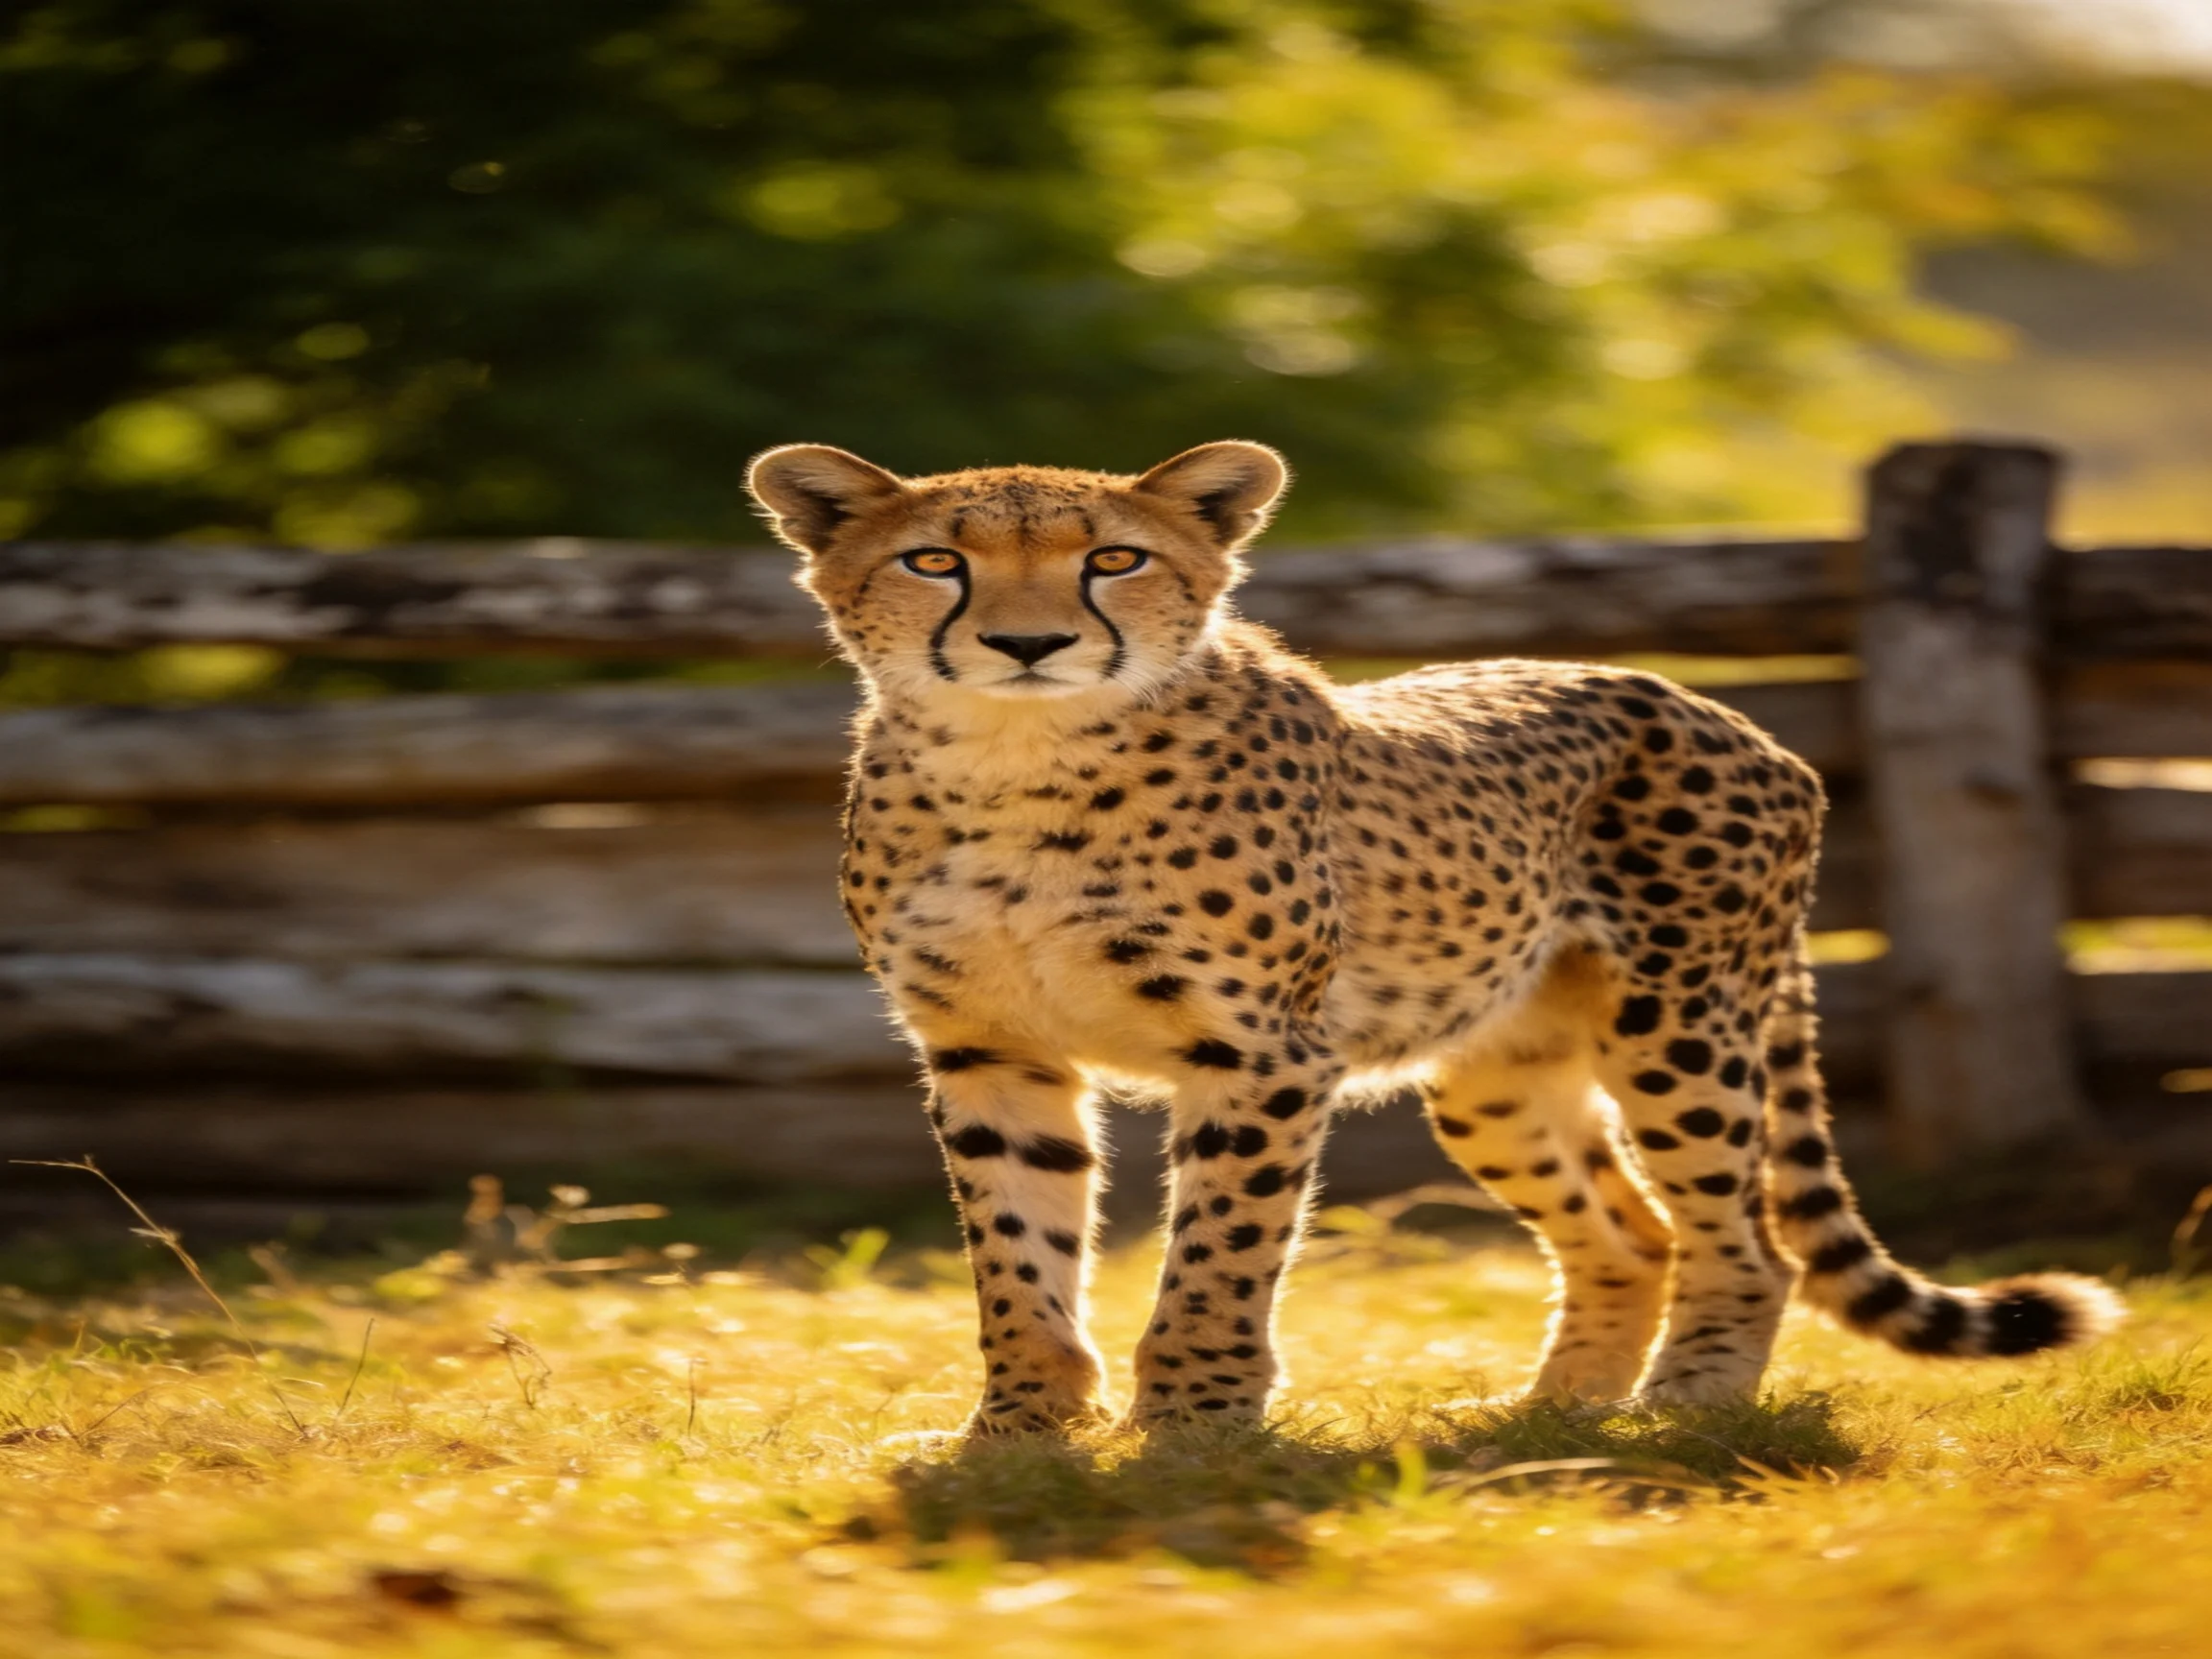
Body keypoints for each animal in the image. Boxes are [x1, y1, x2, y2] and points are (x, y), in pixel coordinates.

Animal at [746, 437, 2122, 1432]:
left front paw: (1196, 1422)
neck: (1016, 762)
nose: (1028, 642)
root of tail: (1706, 702)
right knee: (1631, 1235)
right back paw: (1548, 1417)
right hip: (1493, 1077)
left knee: (1746, 1240)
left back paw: (1688, 1410)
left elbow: (1220, 1249)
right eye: (936, 562)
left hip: (1681, 1027)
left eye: (1115, 559)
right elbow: (1016, 1257)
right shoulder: (989, 1051)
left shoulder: (1260, 1053)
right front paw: (1019, 1434)